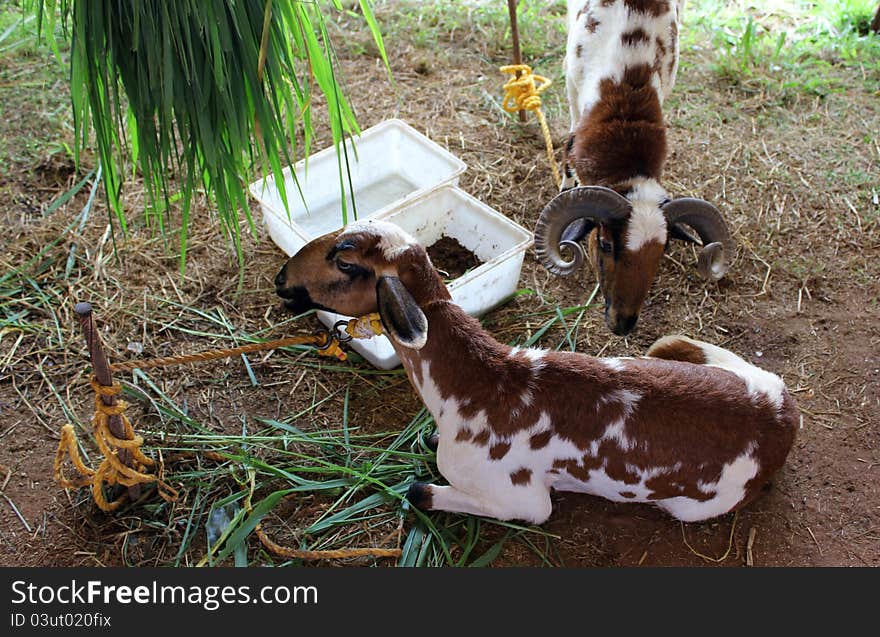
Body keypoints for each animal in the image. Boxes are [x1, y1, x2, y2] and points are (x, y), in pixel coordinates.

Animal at [276, 221, 796, 524]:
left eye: (345, 261)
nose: (282, 281)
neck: (474, 388)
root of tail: (785, 419)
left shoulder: (521, 499)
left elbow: (419, 490)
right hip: (685, 353)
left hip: (691, 506)